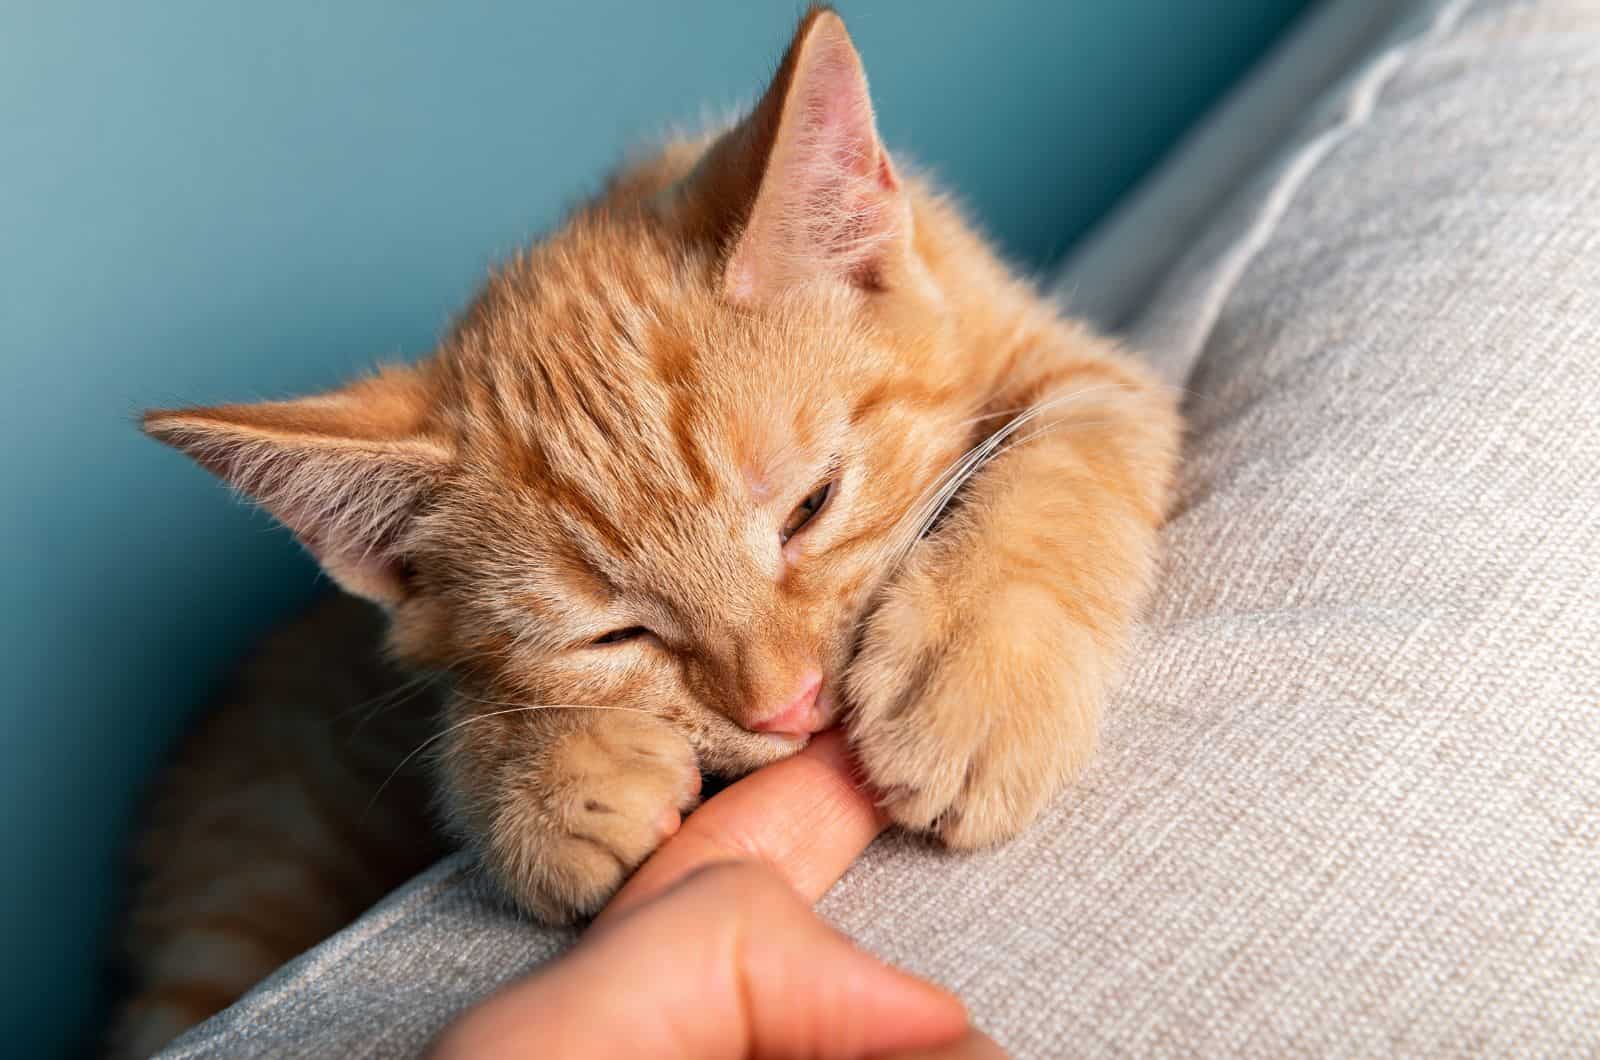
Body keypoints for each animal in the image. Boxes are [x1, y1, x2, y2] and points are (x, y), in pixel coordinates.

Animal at [118, 6, 1184, 1056]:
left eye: (810, 507)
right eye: (614, 635)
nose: (788, 706)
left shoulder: (1078, 365)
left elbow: (1062, 462)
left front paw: (970, 682)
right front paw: (540, 780)